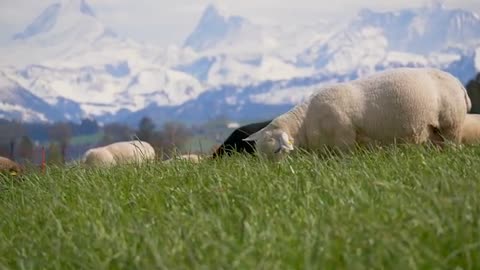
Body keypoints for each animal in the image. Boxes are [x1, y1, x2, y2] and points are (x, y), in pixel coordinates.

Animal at [246, 68, 470, 160]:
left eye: (277, 150)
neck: (305, 122)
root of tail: (458, 83)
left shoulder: (344, 141)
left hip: (451, 124)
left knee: (454, 146)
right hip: (434, 130)